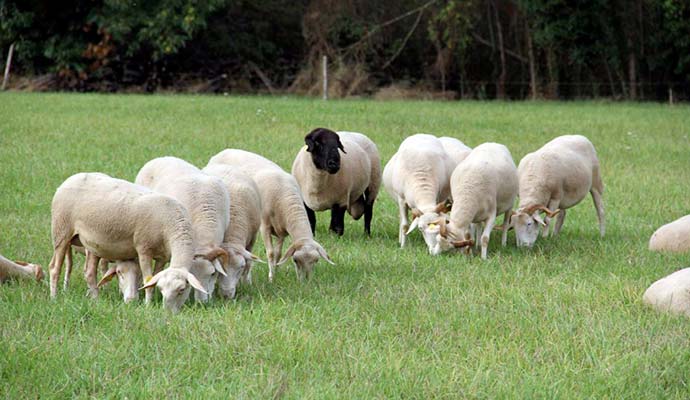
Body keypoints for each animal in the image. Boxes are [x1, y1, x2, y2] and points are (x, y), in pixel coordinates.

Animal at [49, 172, 207, 312]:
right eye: (162, 289)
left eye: (182, 289)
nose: (167, 312)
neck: (172, 226)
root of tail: (69, 179)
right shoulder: (144, 249)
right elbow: (148, 279)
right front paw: (148, 305)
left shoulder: (162, 257)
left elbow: (153, 277)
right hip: (61, 231)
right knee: (54, 268)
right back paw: (54, 297)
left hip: (91, 243)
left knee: (89, 272)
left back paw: (96, 300)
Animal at [202, 163, 264, 300]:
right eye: (220, 271)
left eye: (240, 267)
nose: (226, 295)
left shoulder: (252, 239)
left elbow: (249, 263)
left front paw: (246, 284)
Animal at [207, 148, 334, 282]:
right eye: (295, 260)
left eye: (316, 260)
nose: (305, 282)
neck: (285, 196)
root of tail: (224, 150)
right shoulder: (265, 226)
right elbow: (271, 253)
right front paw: (271, 278)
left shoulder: (282, 231)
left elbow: (278, 254)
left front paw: (276, 273)